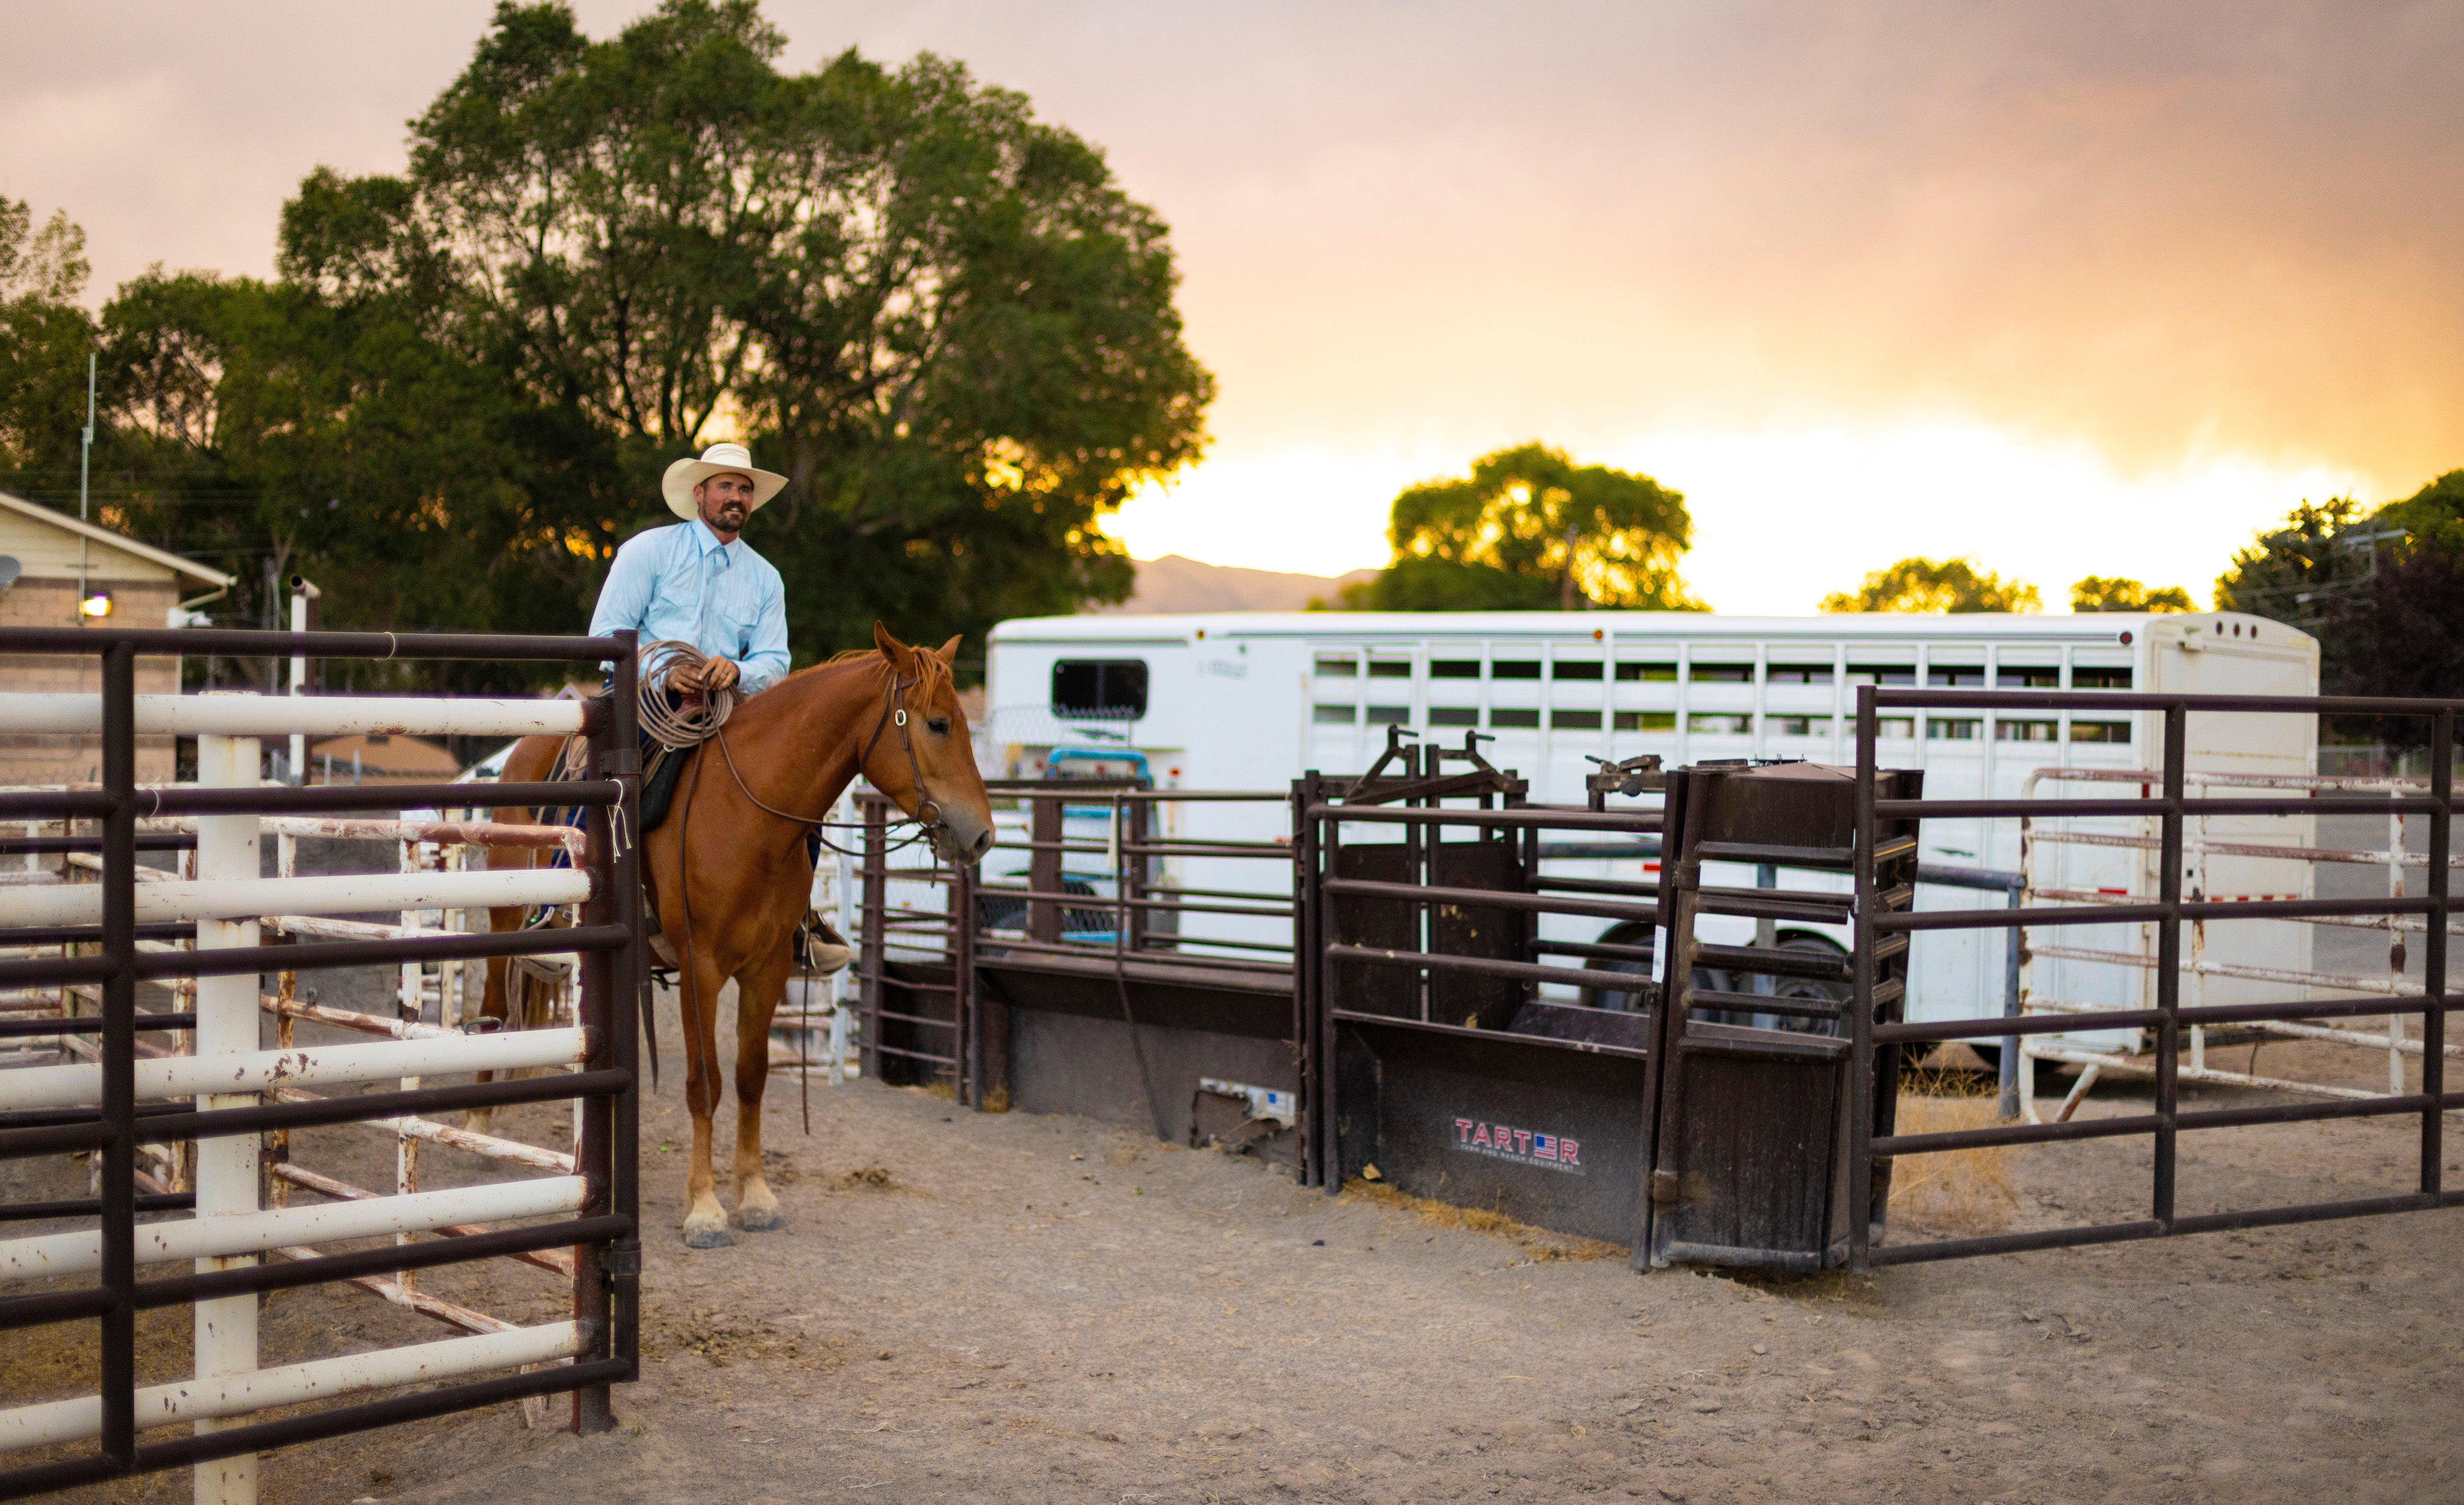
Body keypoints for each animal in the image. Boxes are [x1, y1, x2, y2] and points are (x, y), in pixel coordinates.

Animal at [473, 622, 995, 1247]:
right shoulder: (702, 967)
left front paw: (756, 1195)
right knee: (493, 1010)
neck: (746, 818)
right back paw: (477, 1126)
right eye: (938, 724)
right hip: (503, 922)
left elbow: (750, 1077)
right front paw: (704, 1207)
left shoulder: (767, 968)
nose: (983, 835)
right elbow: (706, 1082)